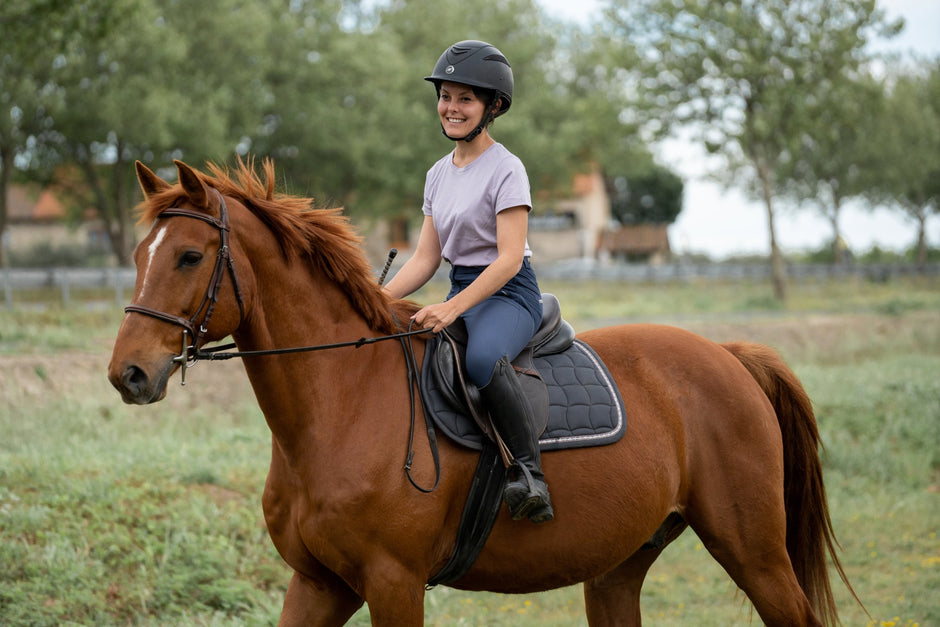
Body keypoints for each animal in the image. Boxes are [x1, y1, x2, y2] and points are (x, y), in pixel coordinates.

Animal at [106, 159, 856, 624]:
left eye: (189, 256)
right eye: (140, 255)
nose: (128, 374)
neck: (342, 404)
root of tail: (728, 355)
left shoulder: (394, 582)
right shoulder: (320, 583)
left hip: (754, 551)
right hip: (619, 565)